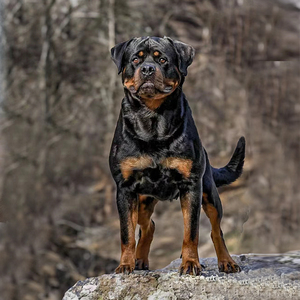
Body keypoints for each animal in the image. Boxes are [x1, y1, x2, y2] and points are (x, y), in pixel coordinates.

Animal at [109, 36, 245, 276]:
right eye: (135, 59)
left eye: (162, 59)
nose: (147, 69)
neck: (152, 118)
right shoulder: (124, 188)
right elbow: (126, 233)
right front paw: (125, 265)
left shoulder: (192, 186)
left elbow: (191, 231)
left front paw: (190, 263)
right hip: (143, 199)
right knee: (147, 225)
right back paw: (139, 260)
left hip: (209, 193)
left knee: (216, 230)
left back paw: (226, 261)